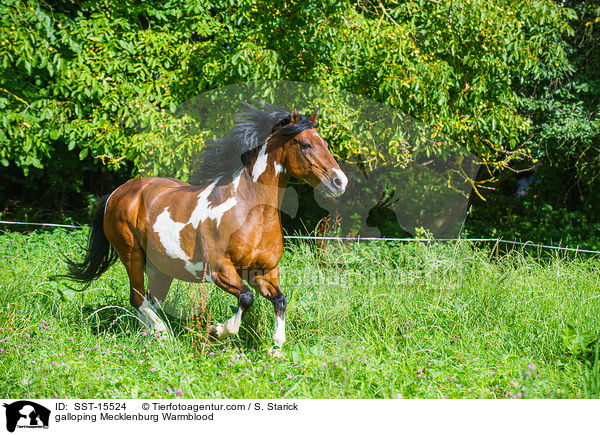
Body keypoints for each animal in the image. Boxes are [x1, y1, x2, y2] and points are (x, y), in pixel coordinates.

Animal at [62, 104, 346, 350]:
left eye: (326, 144)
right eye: (306, 144)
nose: (339, 182)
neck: (253, 212)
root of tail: (116, 193)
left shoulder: (263, 271)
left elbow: (280, 300)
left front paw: (275, 347)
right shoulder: (220, 270)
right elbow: (246, 298)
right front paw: (217, 330)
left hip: (160, 267)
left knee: (150, 301)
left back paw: (149, 336)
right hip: (131, 254)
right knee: (138, 298)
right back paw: (164, 334)